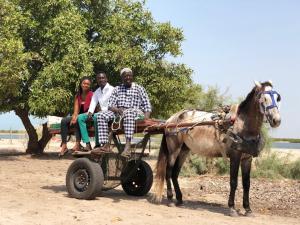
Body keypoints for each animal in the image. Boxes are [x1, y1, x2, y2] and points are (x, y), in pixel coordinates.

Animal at [154, 81, 282, 216]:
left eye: (277, 98)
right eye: (264, 98)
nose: (276, 120)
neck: (240, 125)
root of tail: (170, 120)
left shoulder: (247, 158)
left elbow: (247, 183)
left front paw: (248, 209)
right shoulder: (235, 156)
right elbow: (233, 181)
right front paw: (232, 208)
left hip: (184, 150)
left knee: (175, 173)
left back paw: (179, 199)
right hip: (174, 150)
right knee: (169, 172)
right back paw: (170, 199)